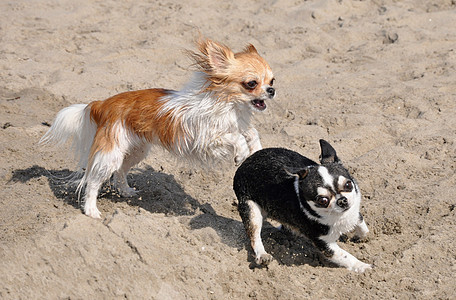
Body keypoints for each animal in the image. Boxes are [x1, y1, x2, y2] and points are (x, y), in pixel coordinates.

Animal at [233, 139, 372, 274]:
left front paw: (363, 237)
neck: (337, 216)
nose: (342, 200)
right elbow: (345, 256)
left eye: (348, 185)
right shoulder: (324, 244)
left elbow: (362, 225)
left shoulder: (353, 213)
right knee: (255, 235)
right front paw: (363, 267)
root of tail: (247, 161)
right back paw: (262, 254)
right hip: (251, 209)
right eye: (323, 200)